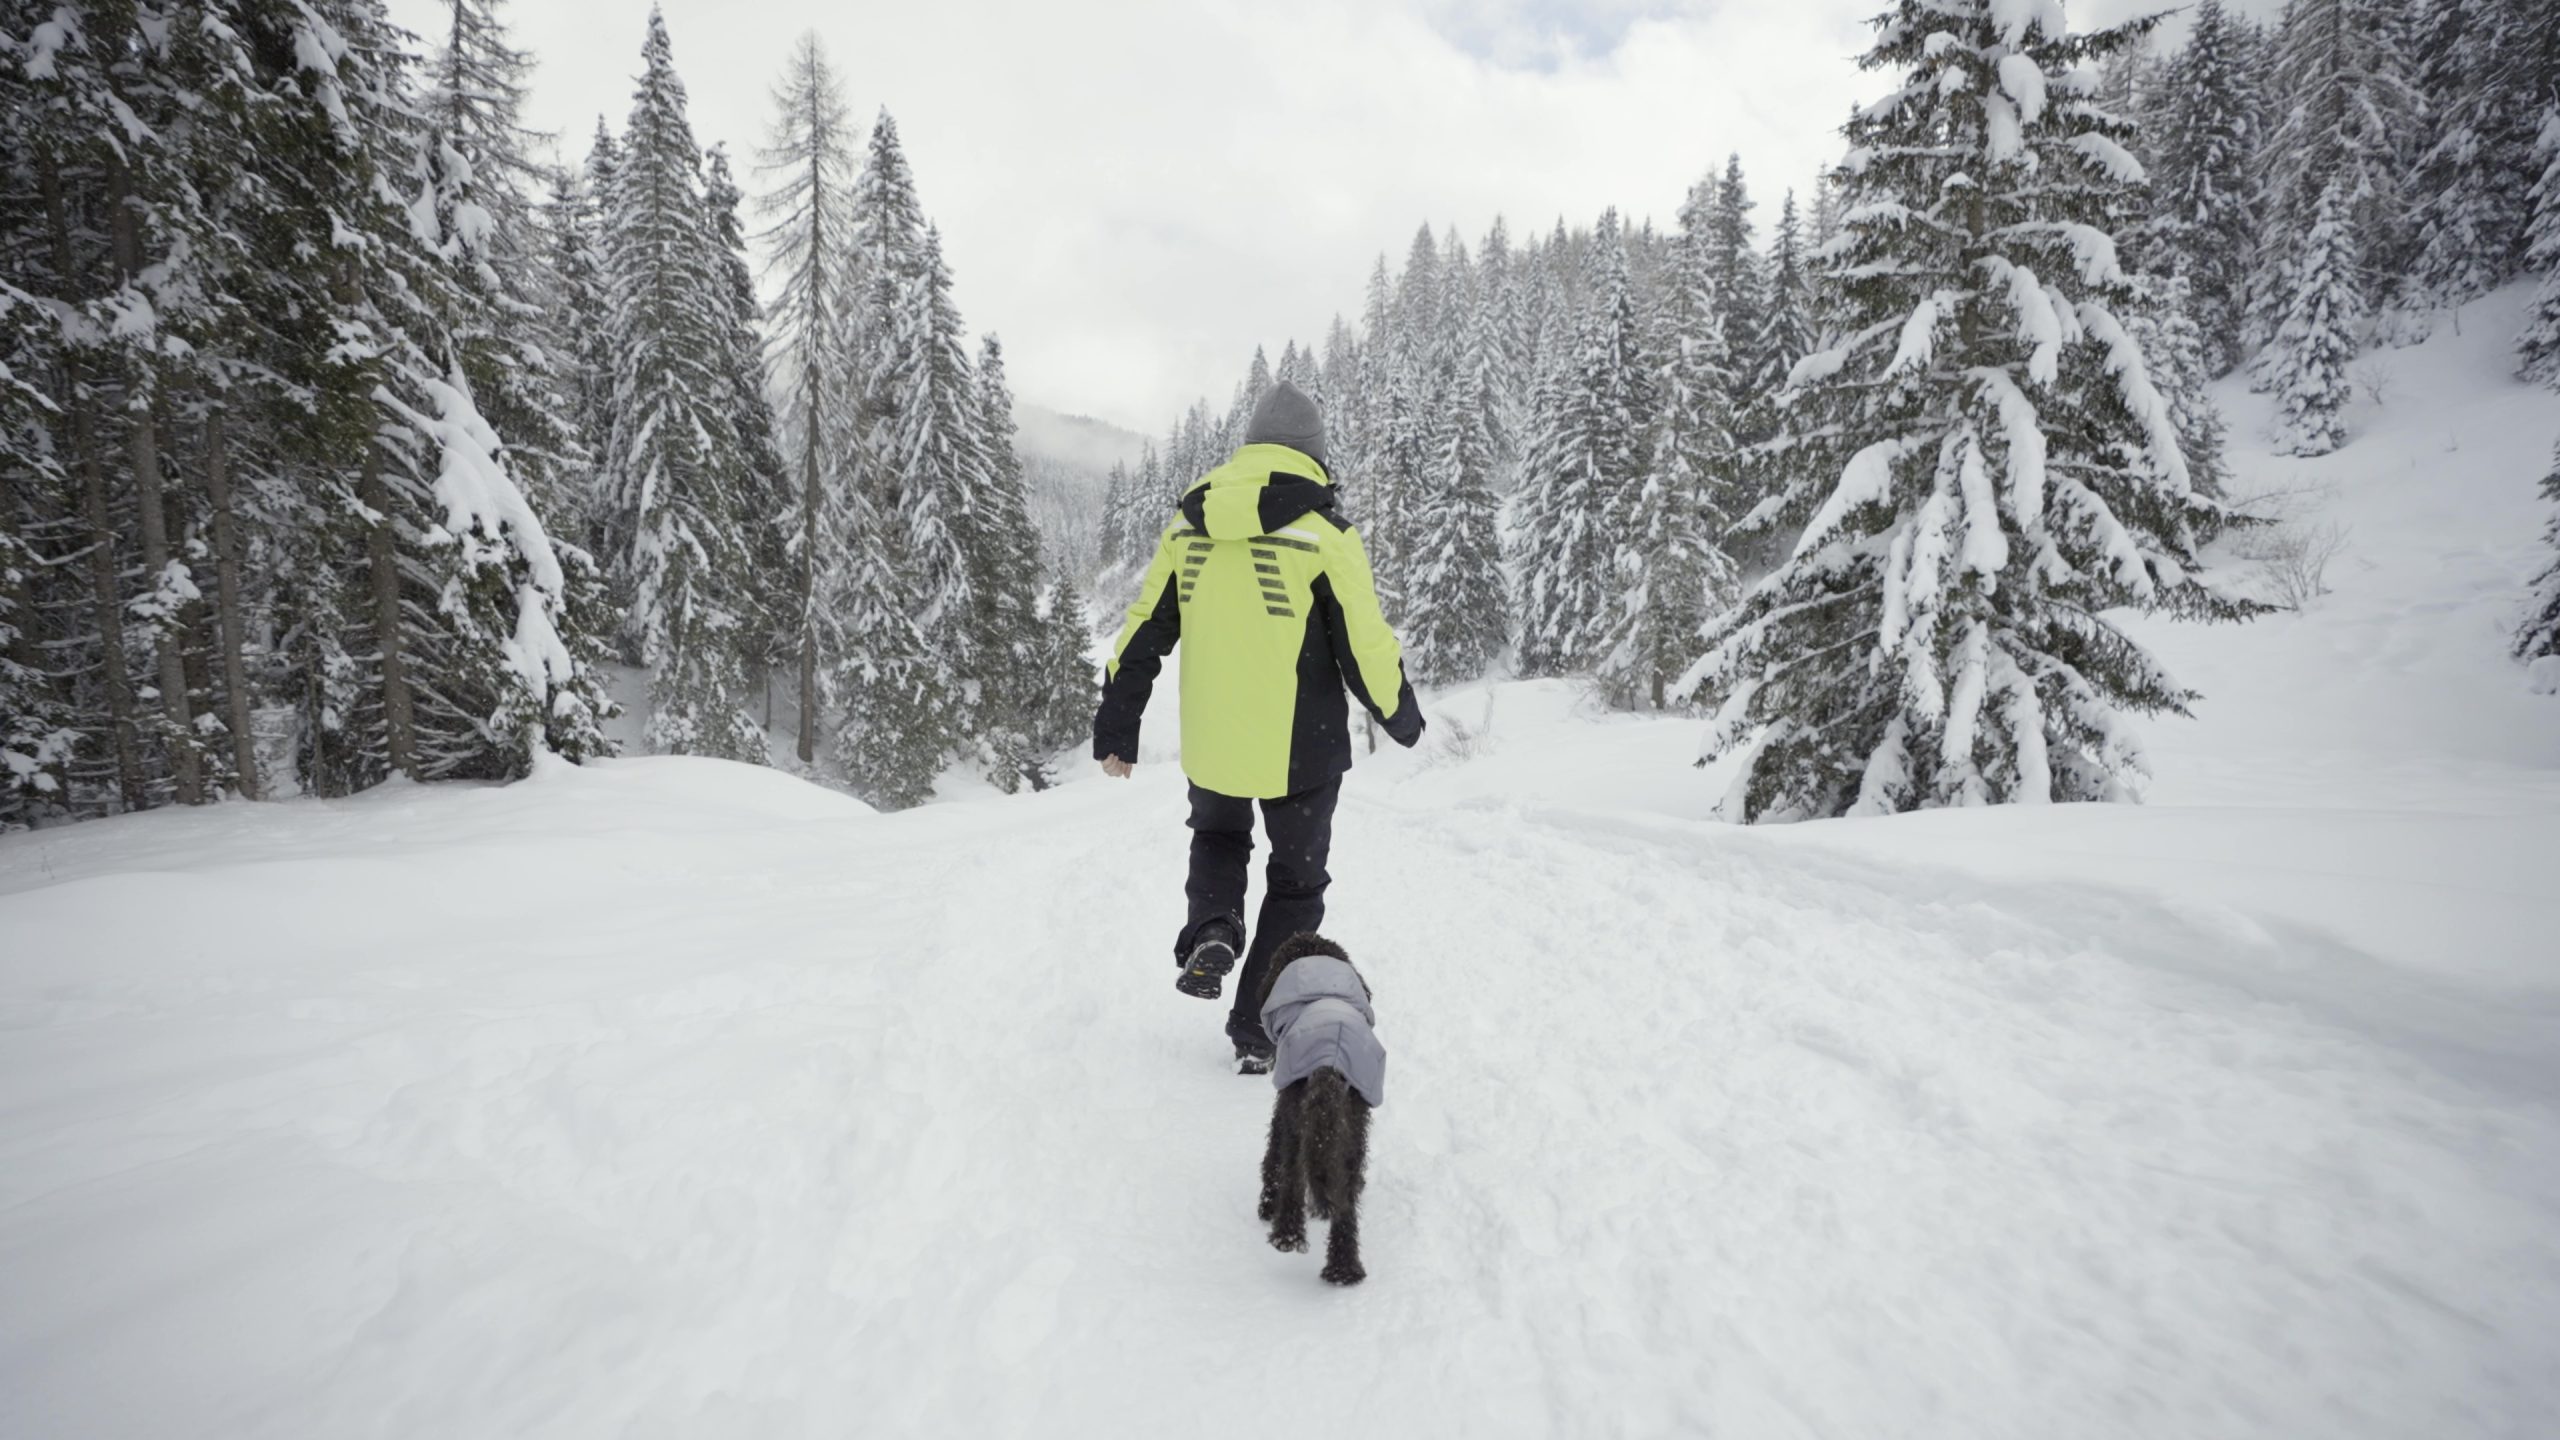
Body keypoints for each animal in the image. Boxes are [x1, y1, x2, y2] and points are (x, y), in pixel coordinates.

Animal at [1254, 937, 1382, 1281]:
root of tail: (1330, 1060)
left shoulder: (1285, 1102)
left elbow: (1273, 1155)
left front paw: (1267, 1206)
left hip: (1299, 1116)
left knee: (1292, 1170)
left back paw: (1285, 1234)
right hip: (1352, 1127)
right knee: (1346, 1195)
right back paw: (1344, 1268)